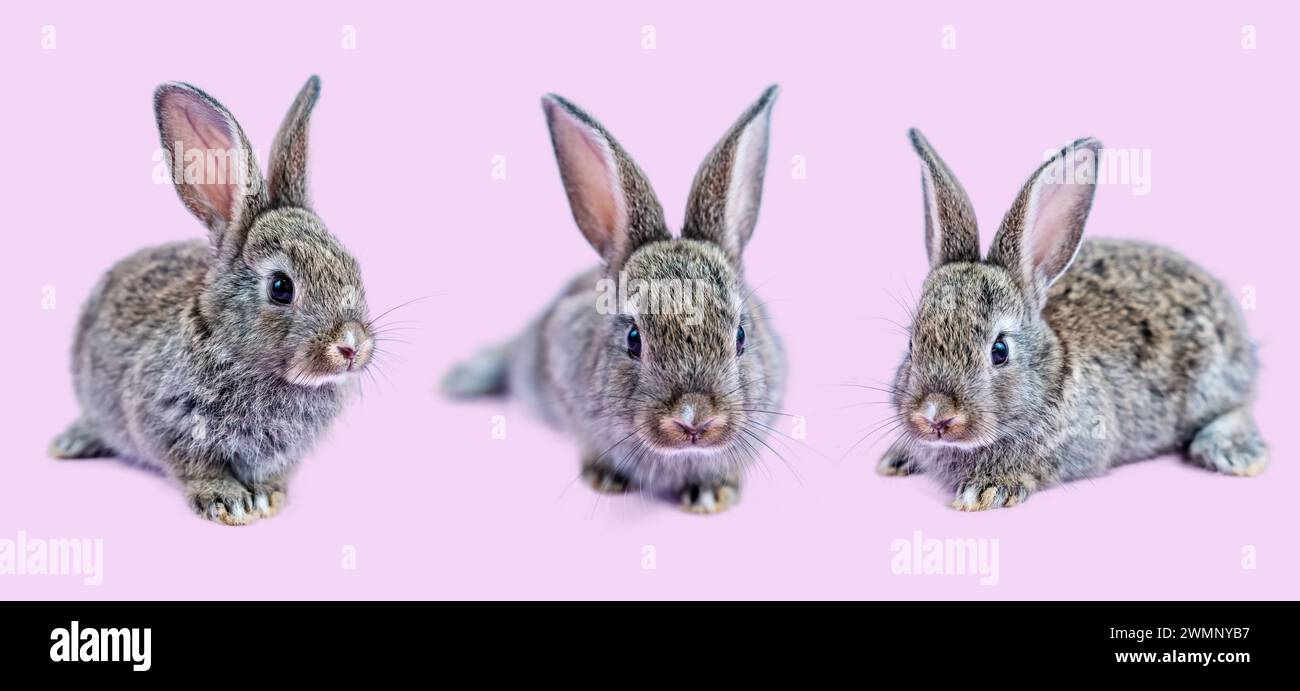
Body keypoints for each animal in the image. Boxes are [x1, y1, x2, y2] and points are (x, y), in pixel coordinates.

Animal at [49, 76, 376, 525]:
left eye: (353, 267)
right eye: (281, 287)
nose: (351, 346)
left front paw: (267, 497)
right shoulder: (170, 426)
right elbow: (198, 468)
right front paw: (230, 501)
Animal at [877, 130, 1266, 510]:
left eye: (1000, 350)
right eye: (911, 344)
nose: (935, 416)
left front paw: (988, 489)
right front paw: (898, 456)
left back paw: (1235, 452)